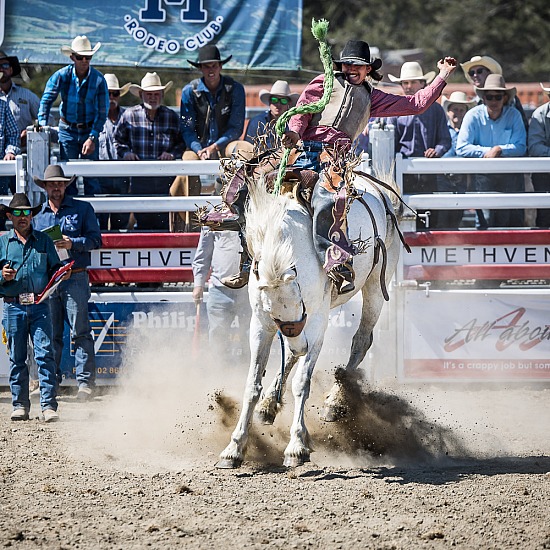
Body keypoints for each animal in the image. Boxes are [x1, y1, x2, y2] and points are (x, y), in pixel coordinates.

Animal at [217, 172, 406, 470]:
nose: (299, 340)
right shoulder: (261, 324)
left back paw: (334, 402)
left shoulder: (316, 323)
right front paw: (233, 448)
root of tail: (379, 190)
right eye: (273, 313)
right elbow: (252, 385)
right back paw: (268, 405)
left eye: (301, 304)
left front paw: (296, 447)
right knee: (294, 356)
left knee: (360, 341)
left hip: (376, 286)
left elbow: (302, 383)